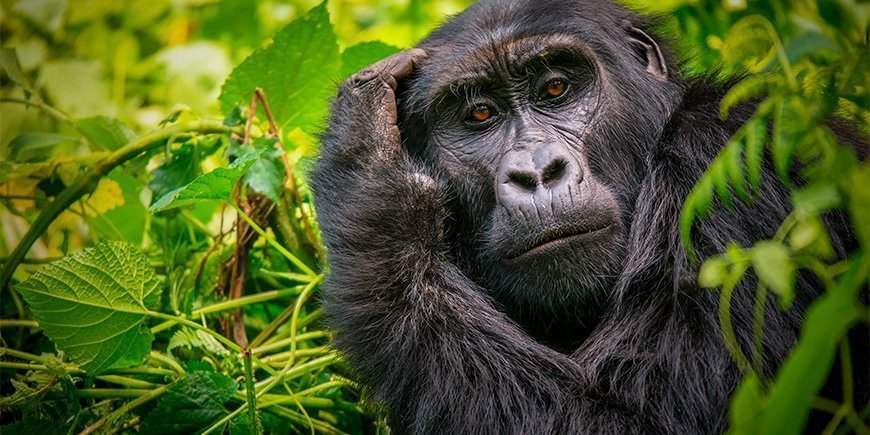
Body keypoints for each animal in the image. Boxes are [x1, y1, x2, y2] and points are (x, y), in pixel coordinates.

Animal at [312, 0, 864, 434]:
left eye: (556, 88)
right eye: (480, 115)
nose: (537, 172)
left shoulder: (735, 155)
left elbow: (638, 421)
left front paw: (371, 180)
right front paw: (369, 154)